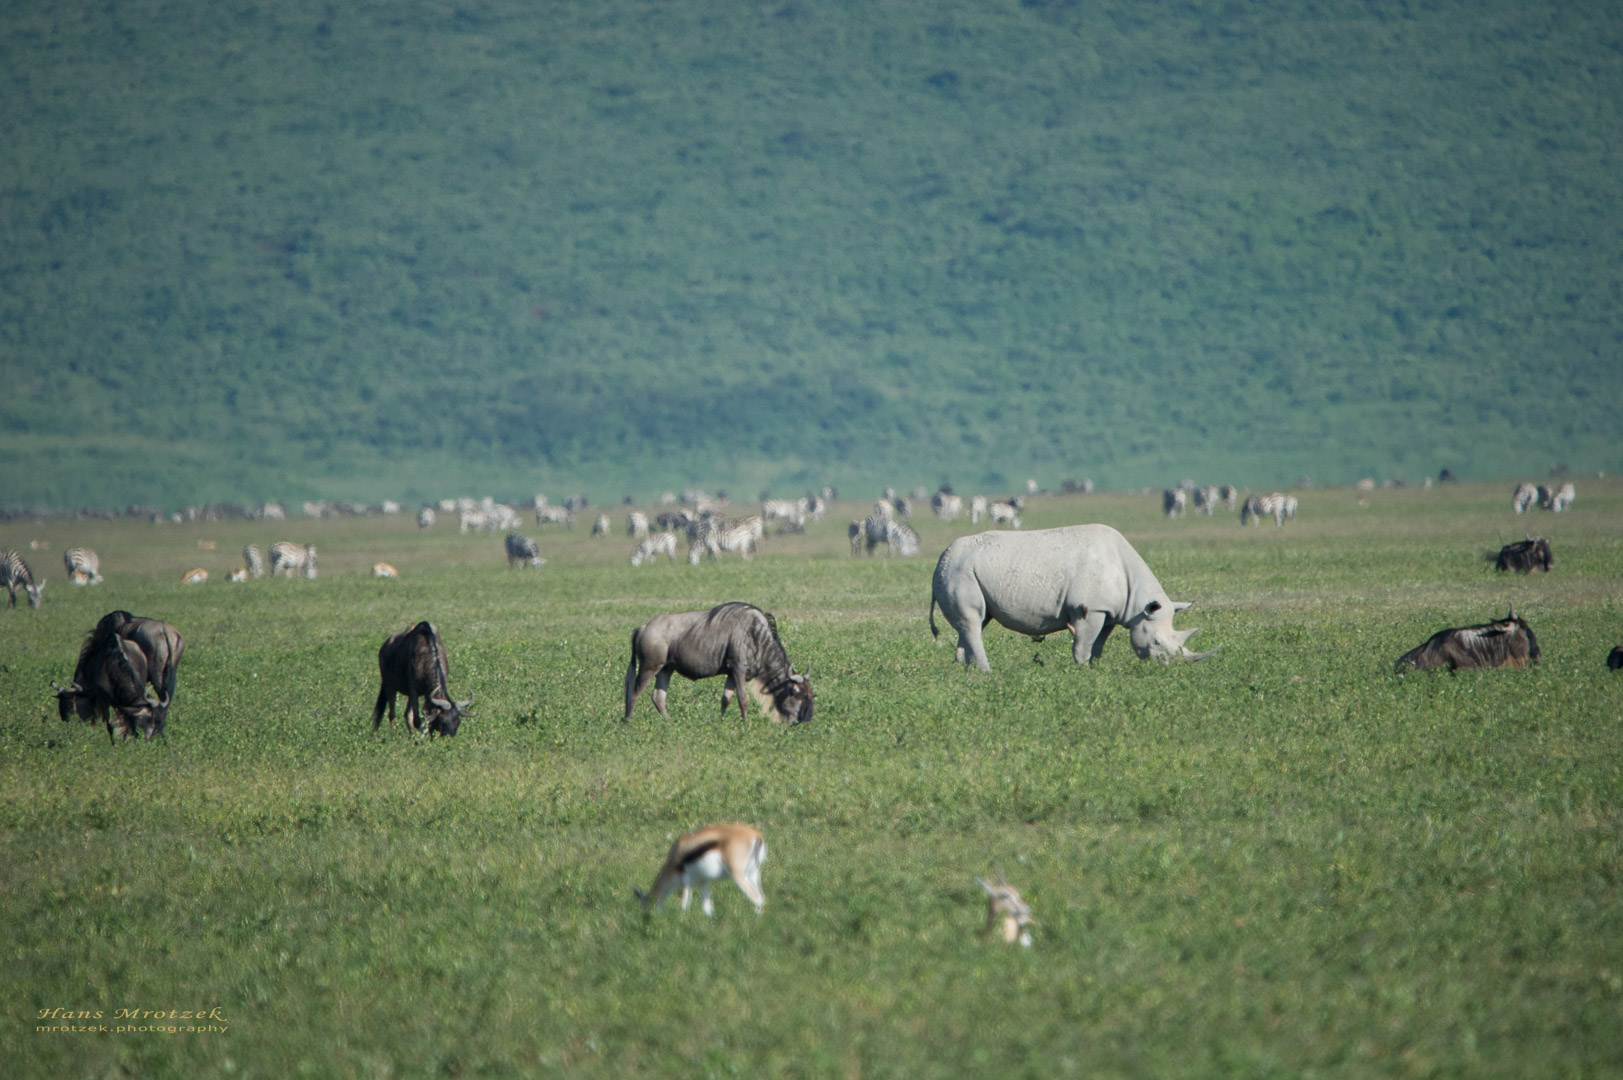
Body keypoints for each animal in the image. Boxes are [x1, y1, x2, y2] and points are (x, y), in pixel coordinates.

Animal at [634, 824, 767, 916]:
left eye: (644, 904)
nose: (650, 916)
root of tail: (756, 835)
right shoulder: (703, 882)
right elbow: (707, 908)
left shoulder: (685, 880)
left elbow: (684, 903)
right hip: (753, 875)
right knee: (762, 897)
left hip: (738, 876)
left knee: (757, 898)